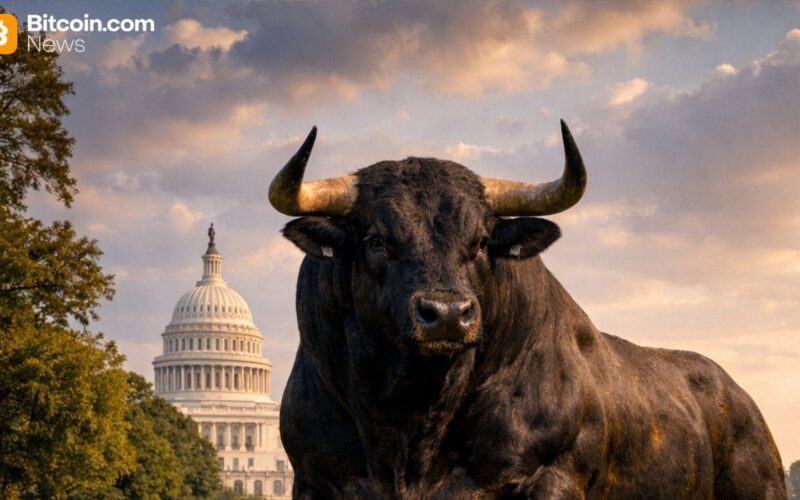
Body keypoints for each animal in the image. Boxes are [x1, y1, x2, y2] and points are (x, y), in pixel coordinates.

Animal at [268, 122, 785, 499]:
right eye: (376, 240)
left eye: (481, 241)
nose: (448, 314)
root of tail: (741, 399)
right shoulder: (314, 482)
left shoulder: (551, 477)